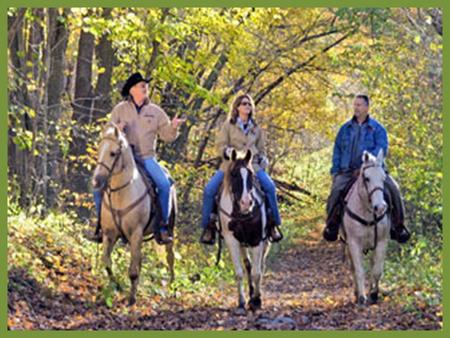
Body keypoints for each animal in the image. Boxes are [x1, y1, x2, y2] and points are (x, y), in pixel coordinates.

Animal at [91, 122, 176, 306]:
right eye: (99, 149)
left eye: (113, 153)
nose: (96, 181)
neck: (121, 194)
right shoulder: (109, 234)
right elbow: (106, 261)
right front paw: (117, 286)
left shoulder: (136, 233)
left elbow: (133, 271)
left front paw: (131, 299)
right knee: (140, 260)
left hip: (169, 230)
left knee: (170, 257)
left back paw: (173, 286)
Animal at [218, 149, 270, 312]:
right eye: (234, 174)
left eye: (251, 174)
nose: (246, 203)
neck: (242, 214)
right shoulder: (232, 241)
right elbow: (240, 272)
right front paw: (242, 301)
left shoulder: (257, 240)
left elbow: (257, 273)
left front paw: (257, 301)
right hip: (242, 244)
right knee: (248, 265)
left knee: (260, 265)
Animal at [342, 149, 388, 304]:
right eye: (367, 178)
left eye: (383, 178)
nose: (380, 207)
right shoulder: (354, 243)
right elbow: (359, 270)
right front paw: (362, 297)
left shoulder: (381, 241)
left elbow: (377, 270)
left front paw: (374, 294)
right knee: (352, 268)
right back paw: (357, 293)